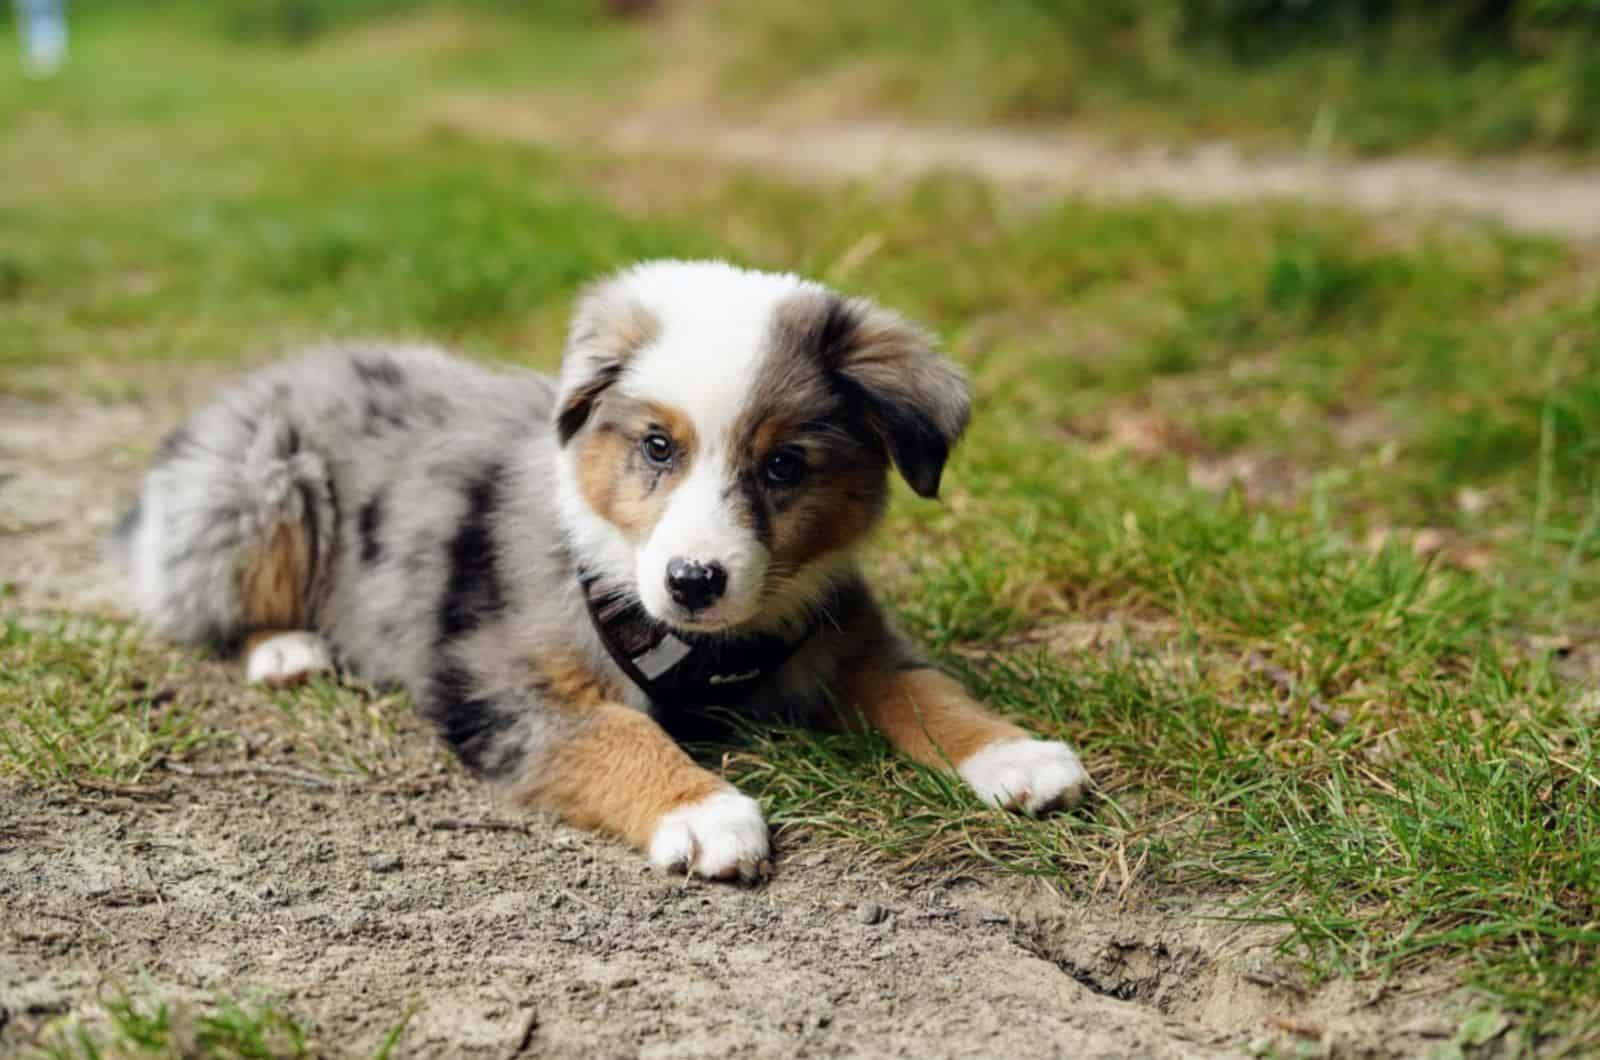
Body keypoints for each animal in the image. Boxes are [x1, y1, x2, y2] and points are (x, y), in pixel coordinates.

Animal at [121, 260, 1088, 883]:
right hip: (259, 494)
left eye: (784, 466)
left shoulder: (845, 637)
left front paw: (1014, 754)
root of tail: (275, 374)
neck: (711, 644)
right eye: (657, 446)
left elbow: (924, 688)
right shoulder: (503, 683)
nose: (694, 581)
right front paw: (704, 811)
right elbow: (619, 732)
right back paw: (286, 649)